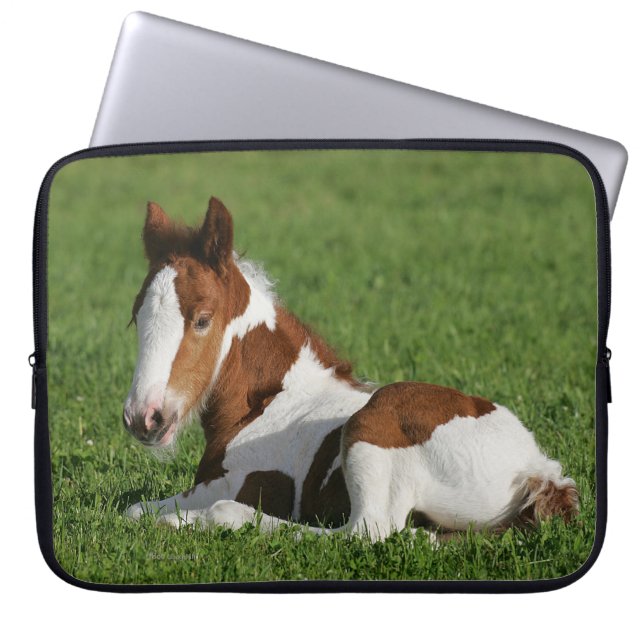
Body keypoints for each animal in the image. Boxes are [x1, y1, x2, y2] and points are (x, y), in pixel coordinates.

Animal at [123, 197, 579, 539]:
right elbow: (133, 510)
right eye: (135, 317)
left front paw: (183, 519)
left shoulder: (235, 483)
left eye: (202, 319)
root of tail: (536, 470)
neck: (269, 403)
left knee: (366, 532)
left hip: (374, 422)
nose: (145, 418)